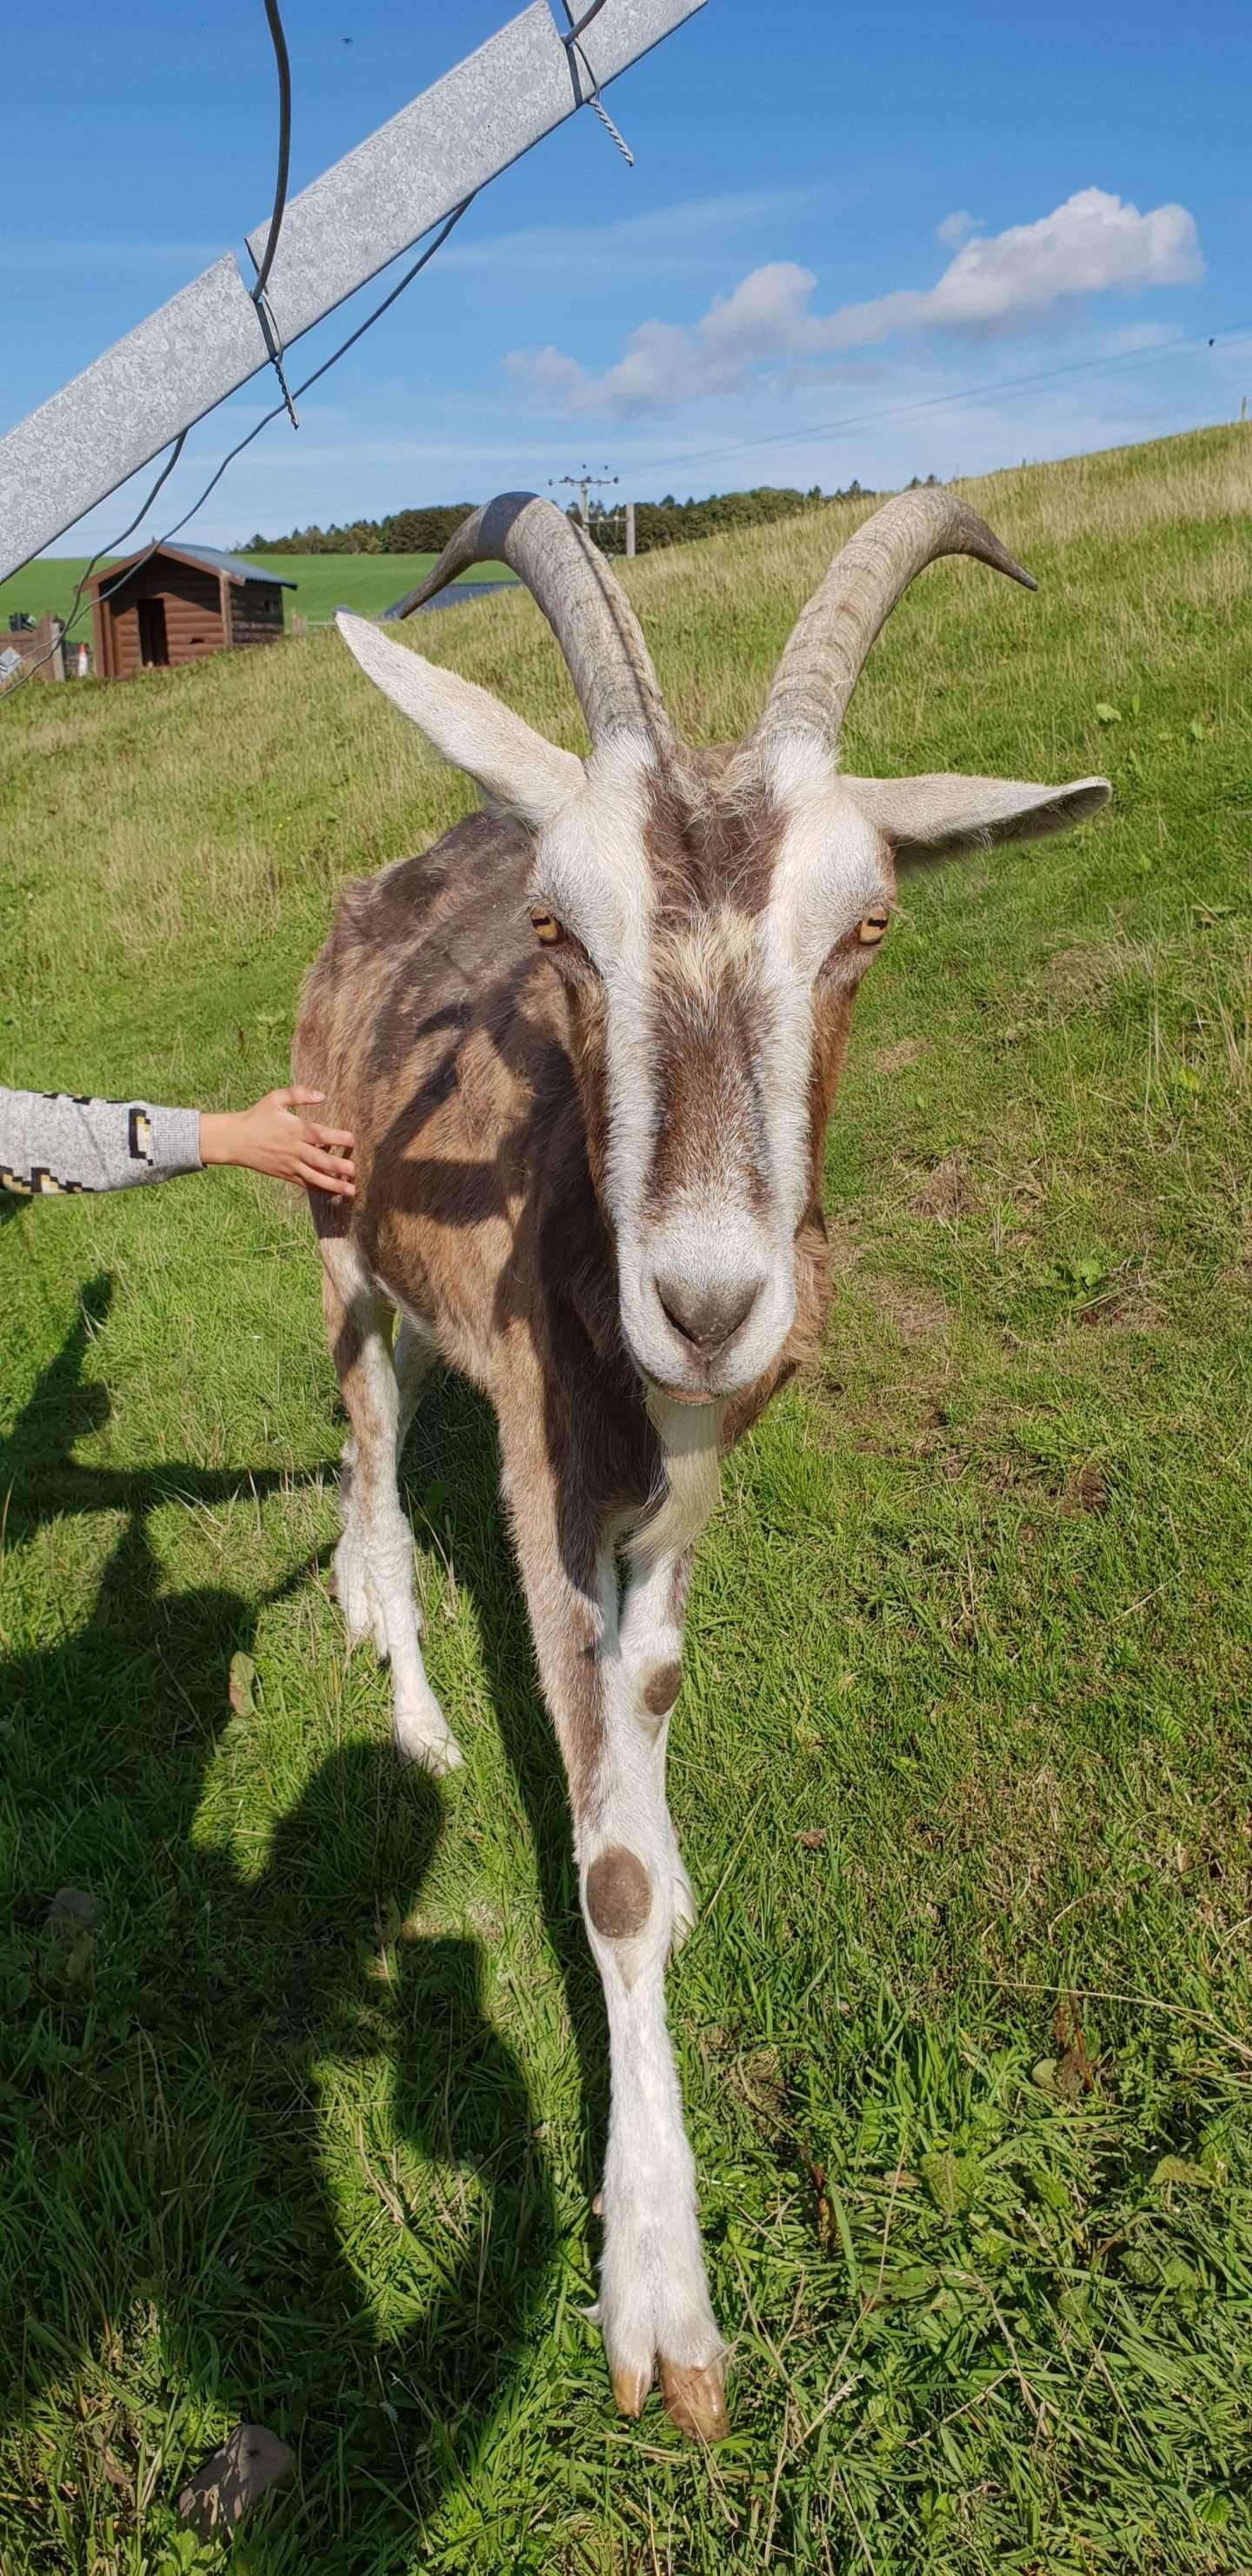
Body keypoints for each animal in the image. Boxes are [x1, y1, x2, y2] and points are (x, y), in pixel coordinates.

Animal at [293, 489, 1109, 2440]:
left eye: (870, 923)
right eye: (556, 927)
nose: (713, 1300)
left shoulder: (685, 1477)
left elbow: (646, 1713)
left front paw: (660, 1828)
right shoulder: (548, 1474)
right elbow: (598, 1861)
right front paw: (660, 2296)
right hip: (337, 1236)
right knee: (367, 1436)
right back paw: (409, 1697)